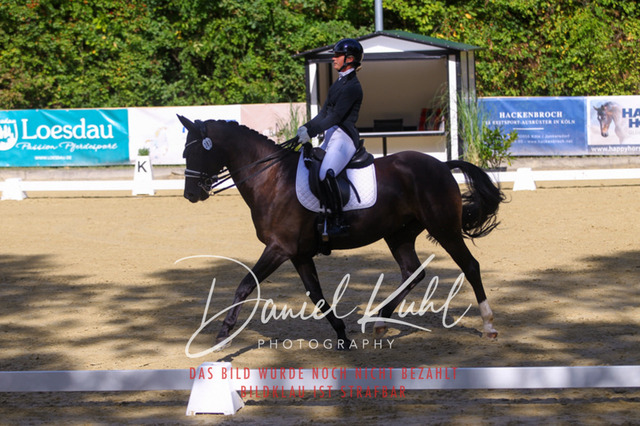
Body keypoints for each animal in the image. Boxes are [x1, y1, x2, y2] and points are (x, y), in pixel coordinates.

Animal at [177, 115, 505, 349]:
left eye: (193, 154)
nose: (190, 195)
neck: (272, 179)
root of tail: (442, 165)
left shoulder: (278, 248)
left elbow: (245, 285)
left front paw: (223, 334)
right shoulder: (297, 253)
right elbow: (317, 295)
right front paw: (342, 336)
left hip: (444, 228)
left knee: (470, 266)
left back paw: (489, 325)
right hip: (398, 235)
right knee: (413, 272)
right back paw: (379, 321)